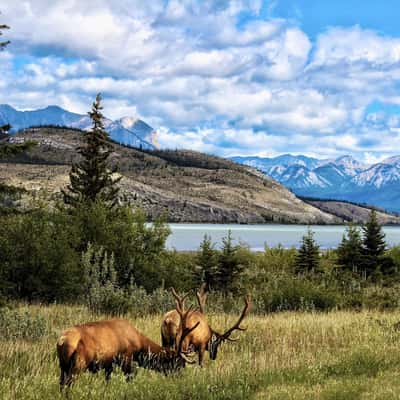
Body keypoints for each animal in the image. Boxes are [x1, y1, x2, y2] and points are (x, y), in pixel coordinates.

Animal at [56, 304, 198, 390]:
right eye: (177, 363)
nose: (181, 378)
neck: (139, 345)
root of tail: (62, 340)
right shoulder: (126, 358)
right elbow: (129, 378)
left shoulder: (109, 364)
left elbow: (107, 381)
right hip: (78, 364)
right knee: (68, 385)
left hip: (63, 366)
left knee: (61, 384)